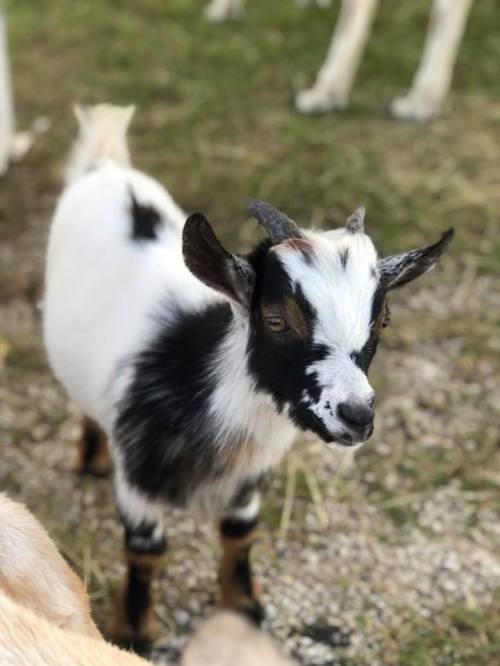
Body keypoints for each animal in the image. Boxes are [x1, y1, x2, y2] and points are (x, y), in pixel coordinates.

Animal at [43, 103, 452, 651]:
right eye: (276, 321)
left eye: (383, 322)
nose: (357, 414)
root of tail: (106, 163)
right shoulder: (138, 477)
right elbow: (146, 550)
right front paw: (134, 632)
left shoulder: (250, 476)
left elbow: (240, 534)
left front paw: (243, 607)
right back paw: (90, 459)